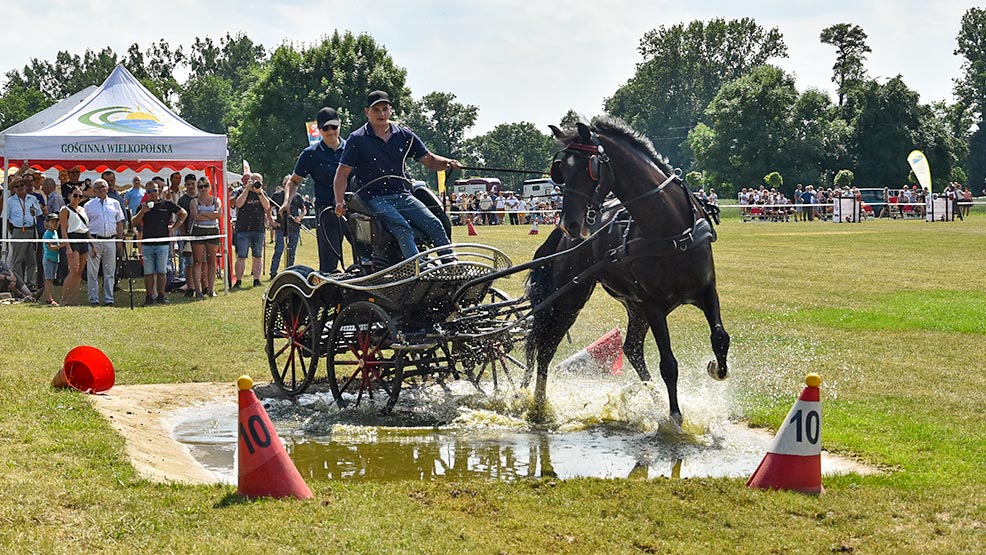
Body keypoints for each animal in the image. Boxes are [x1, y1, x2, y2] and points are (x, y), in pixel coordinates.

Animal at [528, 119, 728, 426]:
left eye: (590, 168)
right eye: (561, 170)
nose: (570, 223)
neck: (671, 228)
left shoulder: (707, 290)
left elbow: (720, 337)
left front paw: (716, 368)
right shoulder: (654, 304)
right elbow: (668, 364)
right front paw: (675, 417)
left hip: (634, 307)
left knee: (632, 349)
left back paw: (654, 398)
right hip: (569, 300)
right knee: (547, 348)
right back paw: (539, 407)